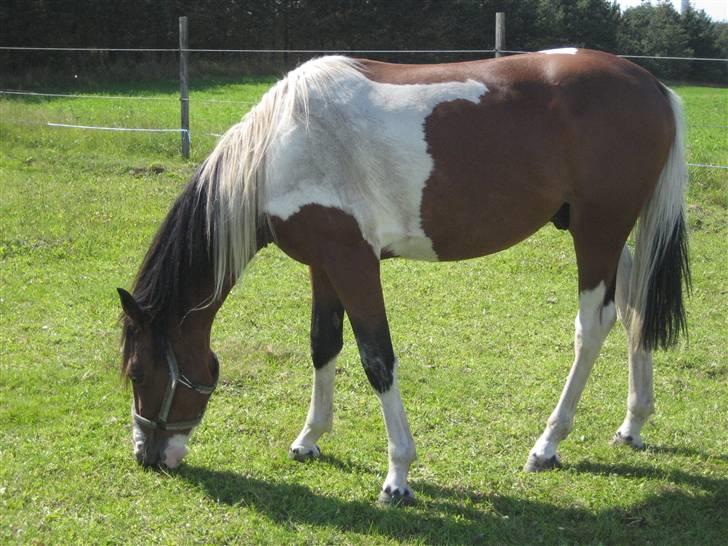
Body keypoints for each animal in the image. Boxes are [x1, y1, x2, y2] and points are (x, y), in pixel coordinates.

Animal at [118, 49, 688, 504]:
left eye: (138, 373)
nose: (147, 454)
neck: (283, 146)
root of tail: (653, 86)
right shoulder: (324, 265)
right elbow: (323, 345)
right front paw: (310, 439)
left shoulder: (355, 263)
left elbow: (377, 360)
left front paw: (398, 476)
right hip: (600, 228)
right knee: (634, 304)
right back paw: (633, 423)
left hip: (598, 229)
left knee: (593, 325)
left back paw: (547, 445)